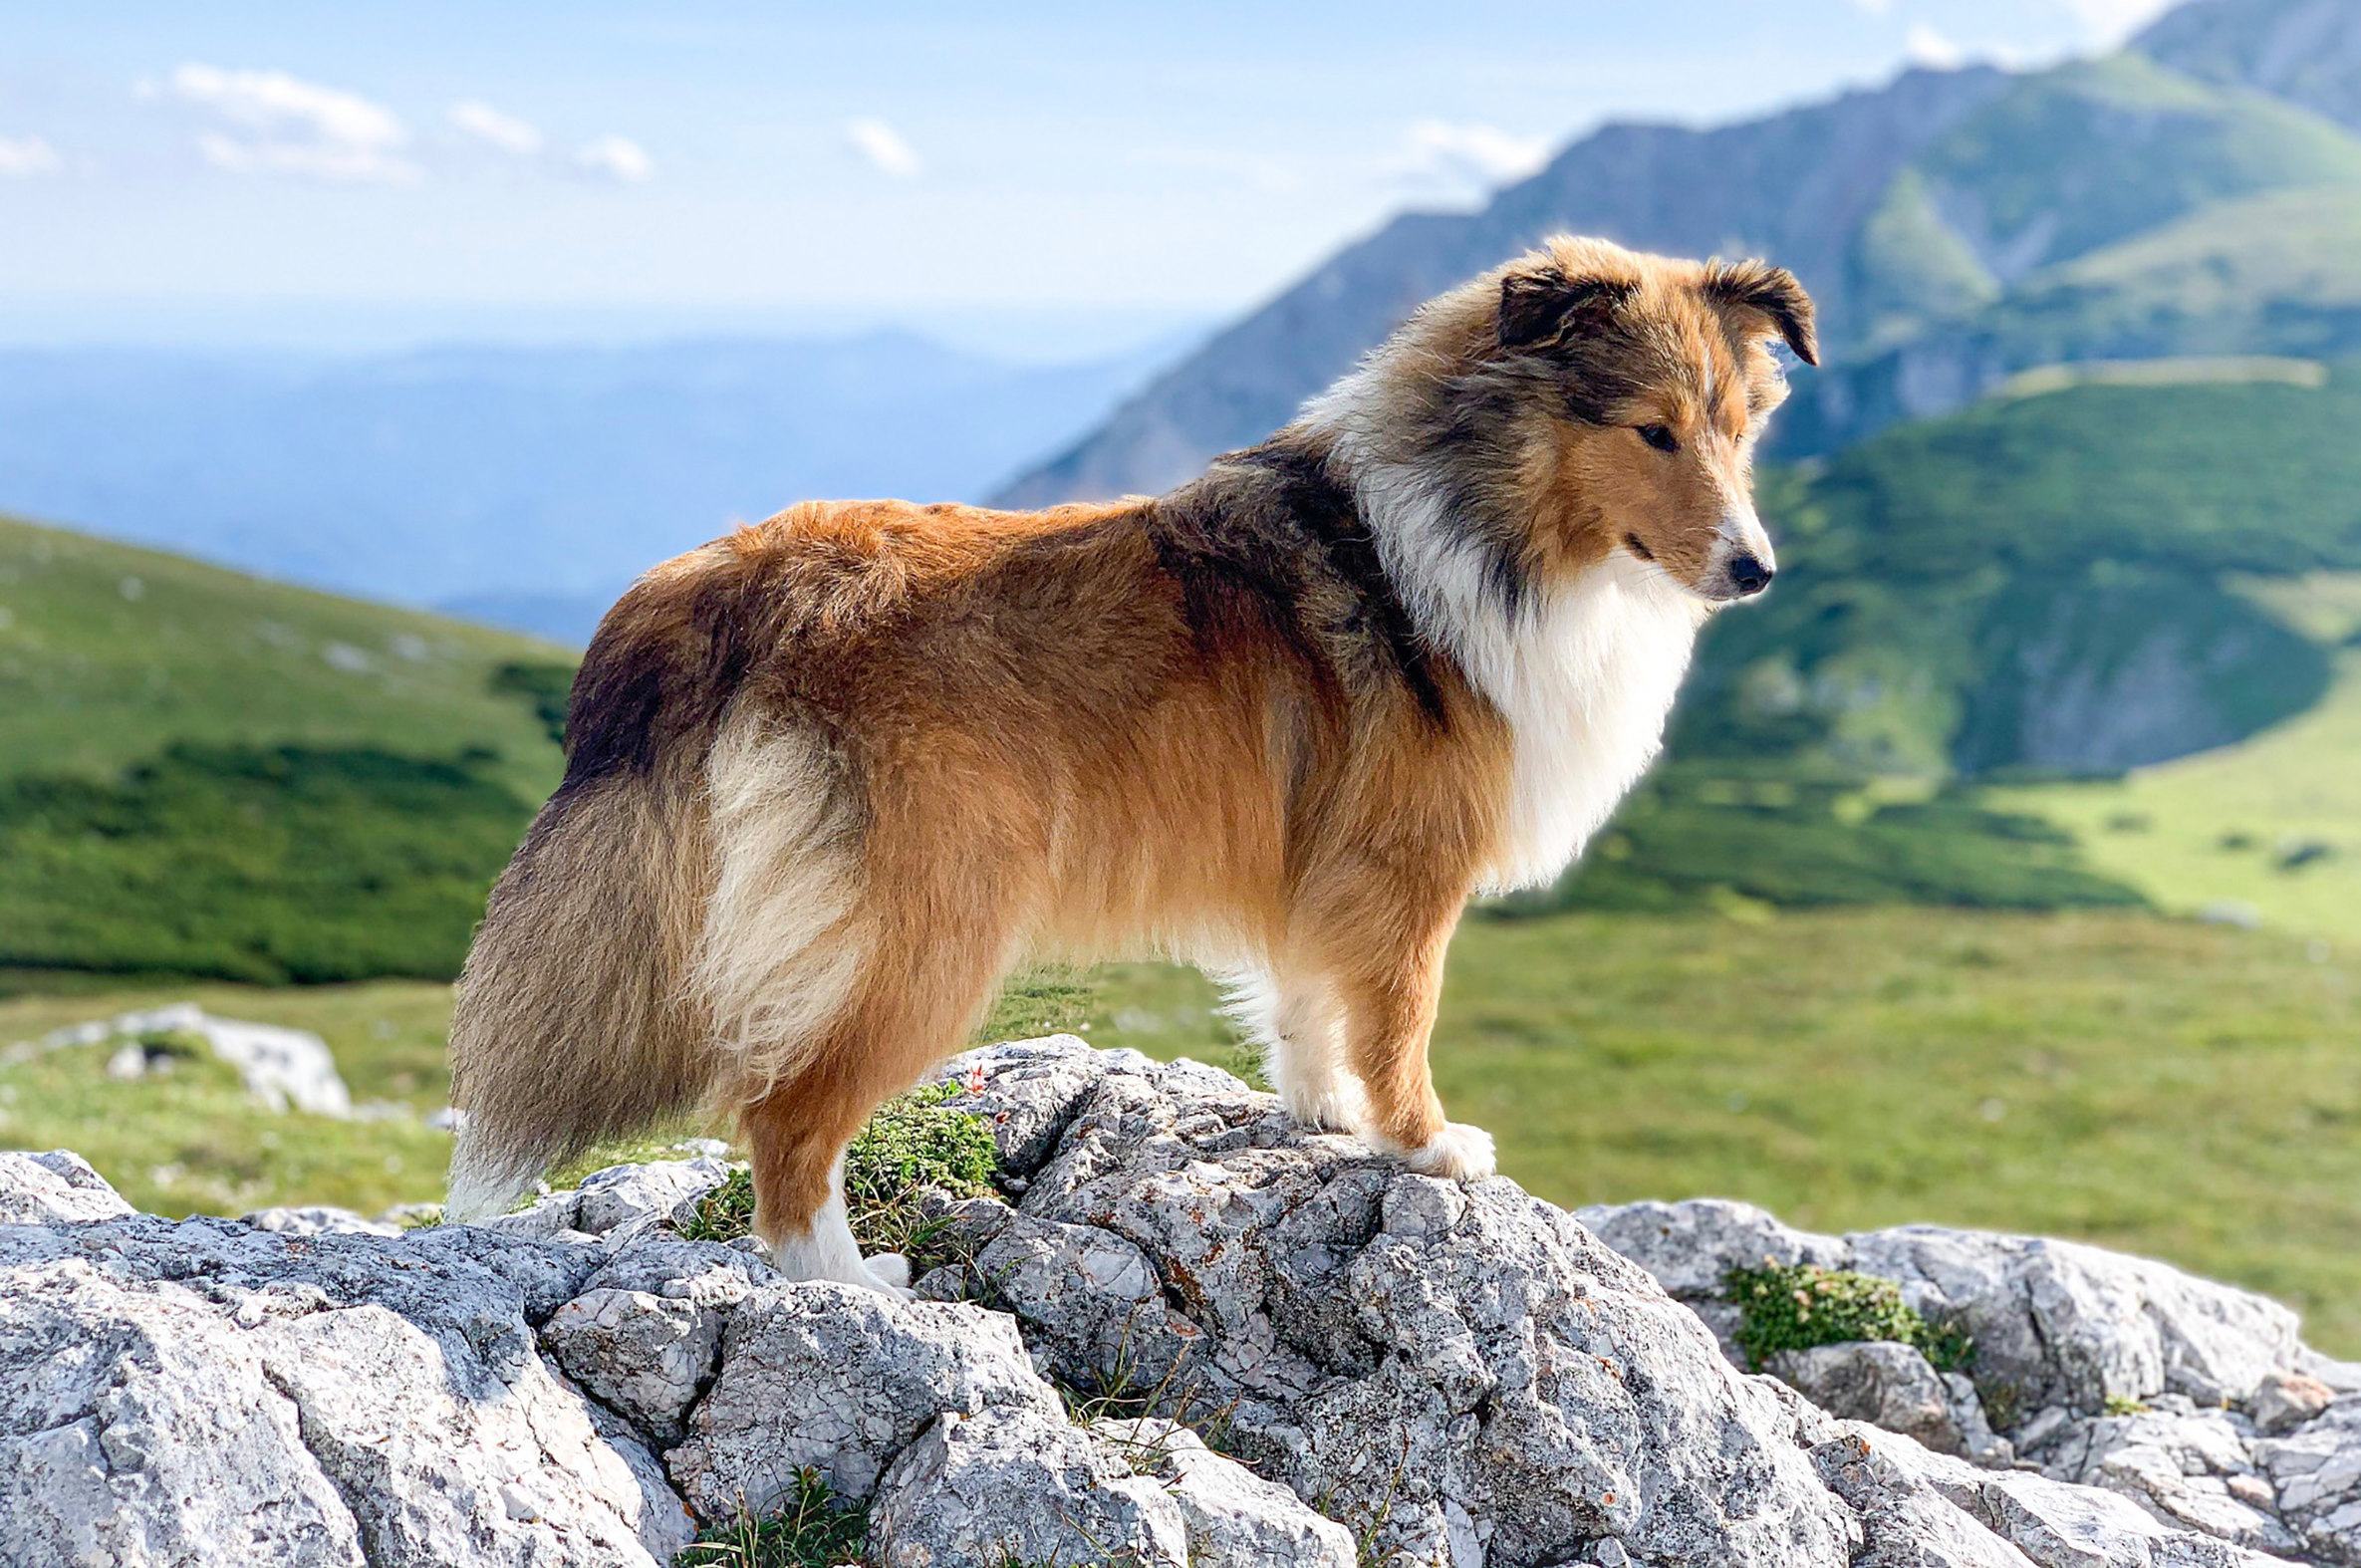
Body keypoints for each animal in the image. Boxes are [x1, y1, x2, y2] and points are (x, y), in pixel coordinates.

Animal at [445, 232, 1803, 1284]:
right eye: (1652, 430)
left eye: (1741, 429)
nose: (1757, 571)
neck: (1480, 522)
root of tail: (743, 572)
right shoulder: (1408, 869)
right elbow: (1400, 1017)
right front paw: (1427, 1143)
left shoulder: (1327, 865)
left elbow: (1310, 998)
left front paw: (1322, 1112)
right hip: (931, 928)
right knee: (784, 1115)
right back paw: (852, 1283)